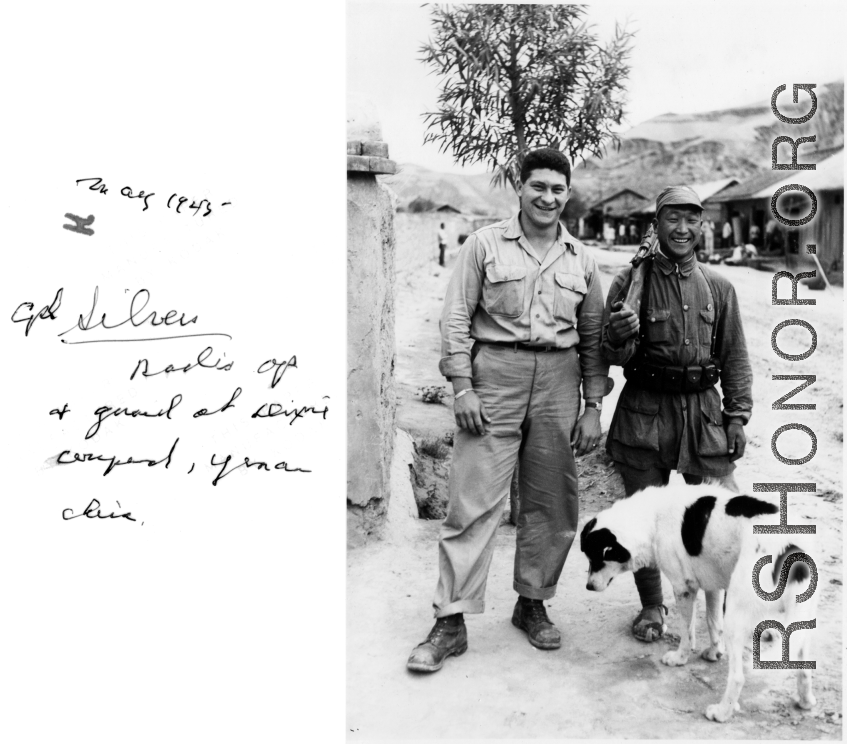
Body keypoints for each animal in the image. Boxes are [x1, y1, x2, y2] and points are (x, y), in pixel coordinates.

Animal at [584, 482, 816, 720]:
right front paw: (714, 652)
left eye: (596, 558)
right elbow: (713, 623)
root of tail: (790, 547)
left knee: (737, 677)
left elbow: (687, 634)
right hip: (800, 619)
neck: (652, 519)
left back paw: (722, 712)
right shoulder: (713, 586)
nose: (588, 587)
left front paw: (679, 658)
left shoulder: (684, 589)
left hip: (736, 615)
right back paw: (805, 701)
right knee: (804, 666)